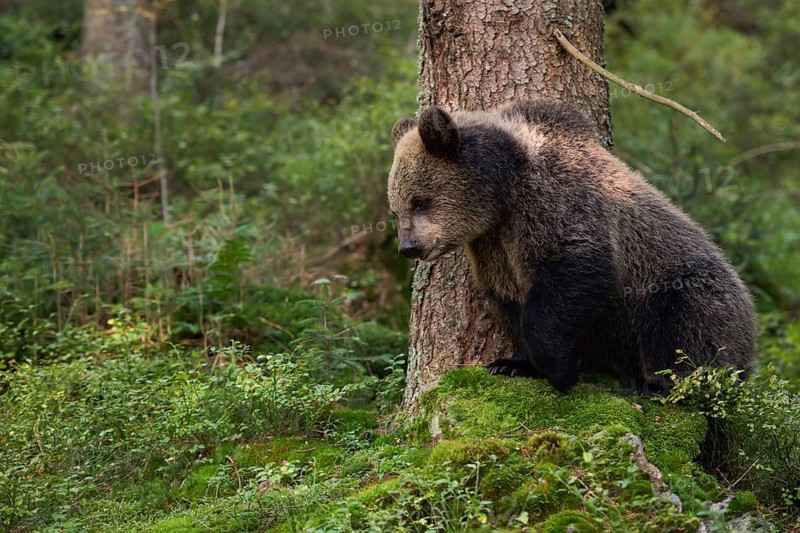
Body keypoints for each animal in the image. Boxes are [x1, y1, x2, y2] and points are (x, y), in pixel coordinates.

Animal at [388, 99, 756, 393]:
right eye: (397, 207)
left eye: (419, 200)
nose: (409, 246)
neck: (502, 194)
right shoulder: (493, 247)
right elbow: (513, 300)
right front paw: (512, 363)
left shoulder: (553, 205)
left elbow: (574, 274)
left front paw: (560, 369)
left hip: (688, 287)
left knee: (683, 329)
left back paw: (657, 383)